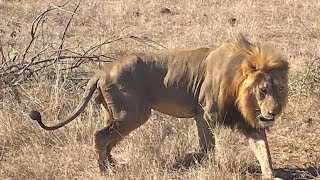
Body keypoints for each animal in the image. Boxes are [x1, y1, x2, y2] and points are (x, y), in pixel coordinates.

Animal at [30, 34, 288, 179]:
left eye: (280, 88)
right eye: (262, 90)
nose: (274, 112)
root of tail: (102, 71)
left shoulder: (251, 122)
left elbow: (264, 151)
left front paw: (270, 175)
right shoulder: (203, 114)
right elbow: (208, 147)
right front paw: (199, 161)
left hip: (117, 114)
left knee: (107, 140)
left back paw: (113, 165)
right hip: (133, 114)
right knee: (100, 137)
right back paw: (105, 171)